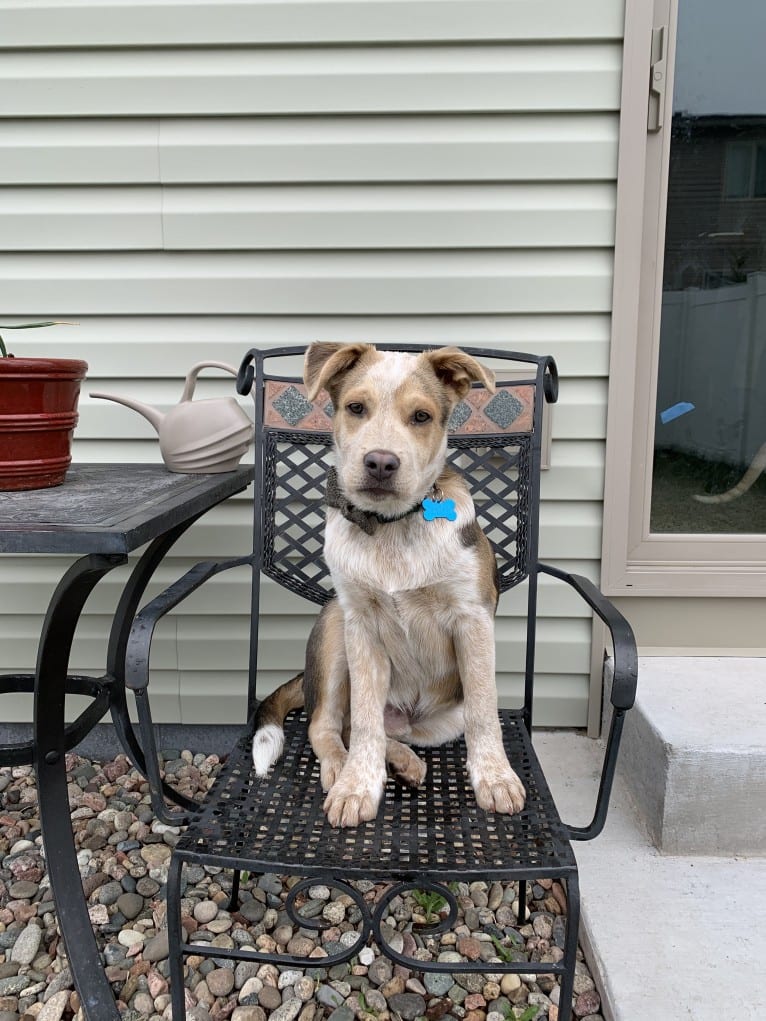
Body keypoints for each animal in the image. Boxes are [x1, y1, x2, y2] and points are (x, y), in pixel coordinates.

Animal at [252, 343, 527, 829]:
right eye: (355, 408)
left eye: (421, 416)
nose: (381, 463)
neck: (392, 525)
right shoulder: (361, 625)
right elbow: (364, 720)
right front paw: (357, 787)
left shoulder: (472, 619)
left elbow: (484, 712)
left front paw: (496, 780)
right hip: (335, 627)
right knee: (329, 724)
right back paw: (342, 767)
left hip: (439, 721)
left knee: (383, 729)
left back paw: (403, 760)